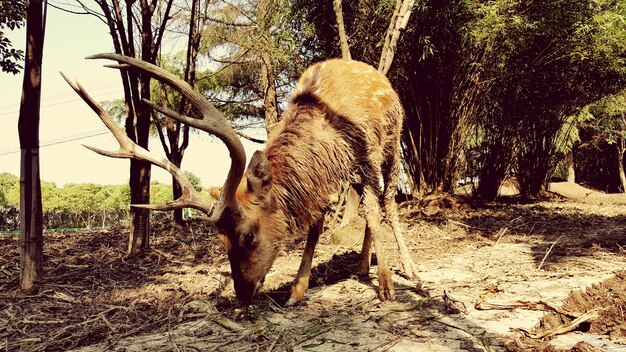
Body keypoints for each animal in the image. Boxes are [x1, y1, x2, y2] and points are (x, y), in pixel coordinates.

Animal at [61, 53, 416, 304]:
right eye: (220, 239)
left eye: (248, 235)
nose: (242, 293)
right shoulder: (320, 182)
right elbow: (316, 226)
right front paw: (296, 290)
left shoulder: (366, 155)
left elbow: (376, 211)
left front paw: (387, 285)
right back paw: (362, 266)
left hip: (393, 143)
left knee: (386, 201)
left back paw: (406, 269)